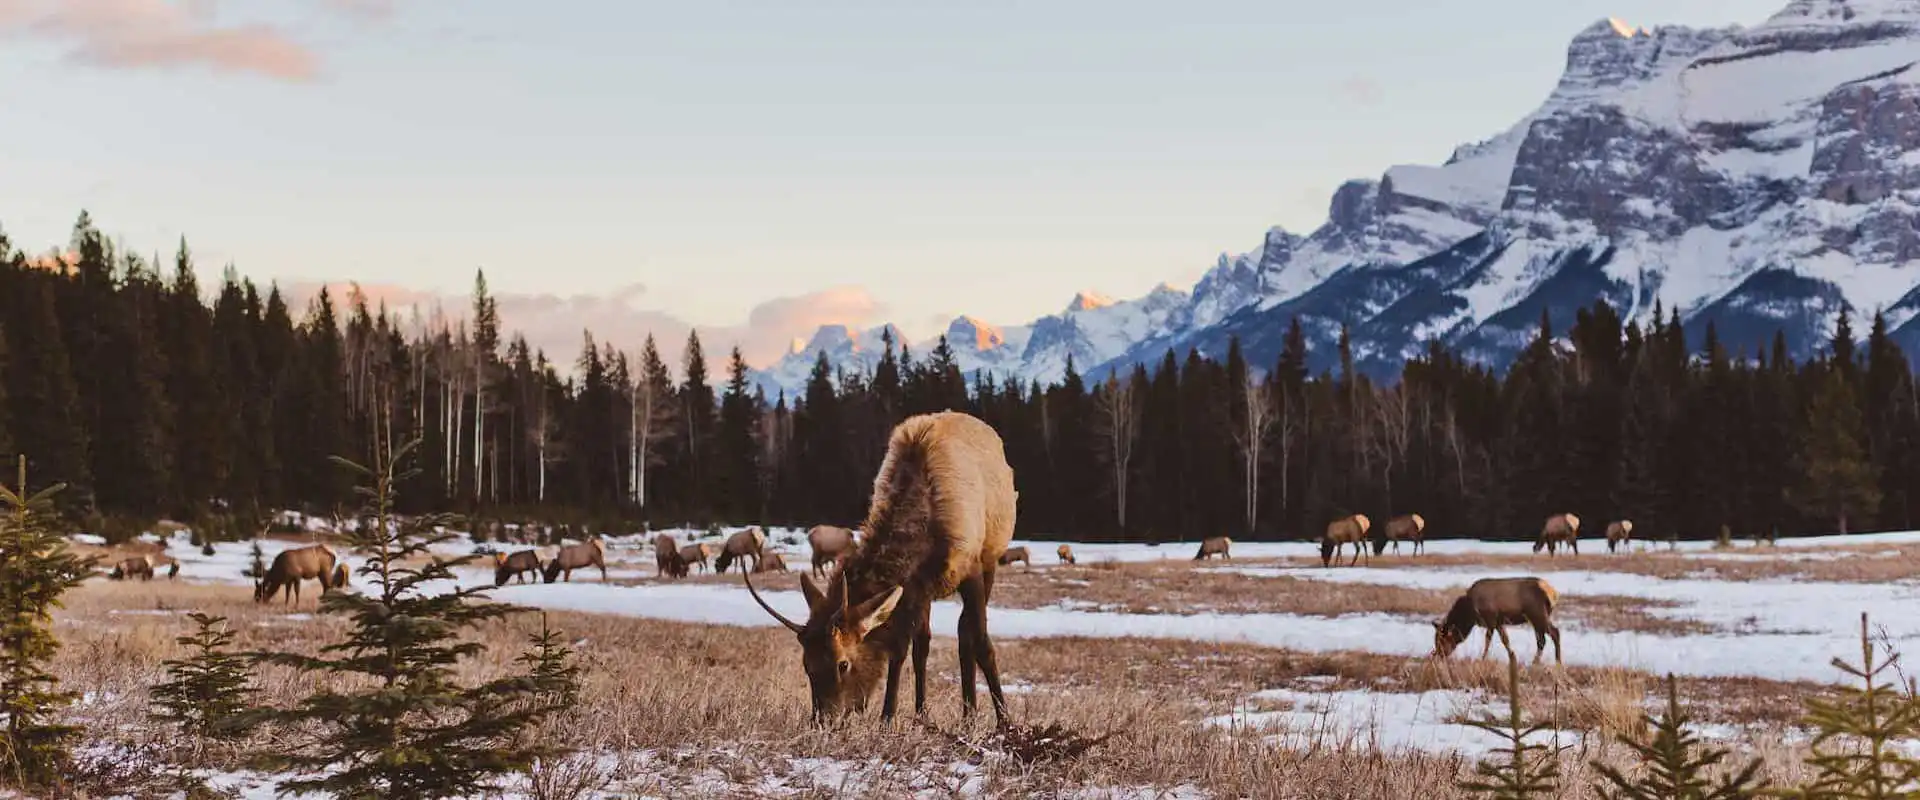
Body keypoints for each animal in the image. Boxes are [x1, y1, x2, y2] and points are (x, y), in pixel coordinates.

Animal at [744, 411, 1018, 725]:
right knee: (924, 644)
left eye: (842, 664)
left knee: (965, 632)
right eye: (807, 665)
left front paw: (1005, 721)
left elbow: (982, 642)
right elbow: (901, 648)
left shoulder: (971, 568)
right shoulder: (914, 587)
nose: (823, 720)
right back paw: (928, 712)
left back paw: (970, 712)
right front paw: (889, 715)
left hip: (989, 560)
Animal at [1431, 577, 1563, 666]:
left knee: (1554, 633)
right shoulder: (1499, 622)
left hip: (1538, 615)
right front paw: (1512, 658)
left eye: (1442, 640)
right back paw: (1535, 662)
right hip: (1536, 620)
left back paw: (1558, 662)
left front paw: (1482, 659)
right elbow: (1505, 640)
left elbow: (1487, 640)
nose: (1438, 655)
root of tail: (1553, 593)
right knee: (1542, 640)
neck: (1470, 613)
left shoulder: (1491, 620)